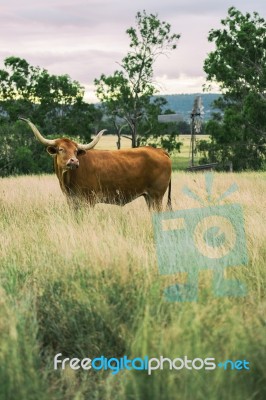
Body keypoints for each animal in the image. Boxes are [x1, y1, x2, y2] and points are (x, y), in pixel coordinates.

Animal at [19, 118, 172, 209]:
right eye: (61, 149)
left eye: (75, 151)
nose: (74, 161)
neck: (67, 179)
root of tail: (160, 150)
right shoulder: (72, 202)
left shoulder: (88, 201)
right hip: (149, 197)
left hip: (156, 196)